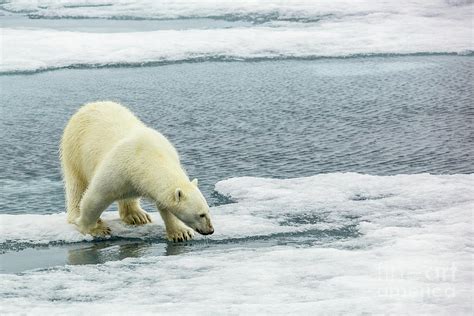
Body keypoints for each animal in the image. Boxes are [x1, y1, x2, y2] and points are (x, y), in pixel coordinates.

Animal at [60, 102, 215, 242]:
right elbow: (95, 197)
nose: (210, 230)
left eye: (208, 210)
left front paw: (181, 233)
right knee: (76, 186)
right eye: (201, 215)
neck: (148, 156)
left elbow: (164, 203)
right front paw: (95, 229)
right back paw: (75, 215)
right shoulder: (118, 169)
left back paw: (137, 216)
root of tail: (88, 106)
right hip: (74, 150)